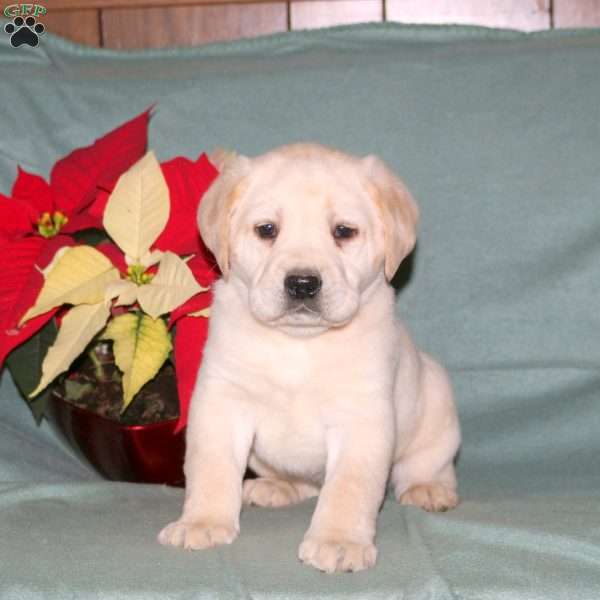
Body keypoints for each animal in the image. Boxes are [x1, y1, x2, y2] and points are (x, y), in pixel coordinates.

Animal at [158, 142, 460, 572]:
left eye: (343, 232)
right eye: (267, 229)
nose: (302, 284)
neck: (299, 344)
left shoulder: (362, 417)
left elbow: (350, 485)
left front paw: (339, 541)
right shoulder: (222, 401)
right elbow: (210, 466)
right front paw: (202, 522)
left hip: (436, 403)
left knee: (428, 463)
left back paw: (429, 489)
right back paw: (275, 487)